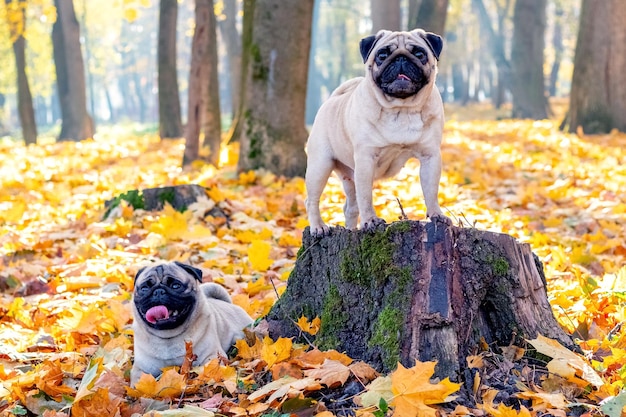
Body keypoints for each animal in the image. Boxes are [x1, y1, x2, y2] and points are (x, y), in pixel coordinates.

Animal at [304, 28, 446, 237]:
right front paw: (370, 221)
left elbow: (431, 190)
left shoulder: (430, 157)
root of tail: (332, 99)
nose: (401, 58)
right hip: (320, 165)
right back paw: (318, 227)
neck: (401, 109)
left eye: (419, 54)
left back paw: (351, 229)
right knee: (312, 200)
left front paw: (436, 215)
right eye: (382, 55)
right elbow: (366, 197)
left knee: (350, 207)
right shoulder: (365, 159)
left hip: (349, 175)